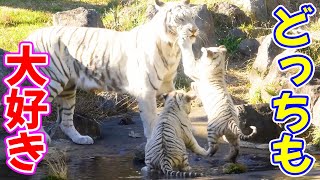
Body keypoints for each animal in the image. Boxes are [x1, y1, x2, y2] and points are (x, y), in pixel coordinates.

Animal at [25, 0, 199, 144]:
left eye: (192, 17)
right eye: (179, 19)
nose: (194, 30)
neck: (172, 48)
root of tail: (31, 35)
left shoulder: (168, 86)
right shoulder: (146, 91)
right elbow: (151, 122)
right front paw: (153, 144)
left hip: (68, 87)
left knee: (65, 120)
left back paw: (81, 138)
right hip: (52, 80)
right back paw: (42, 138)